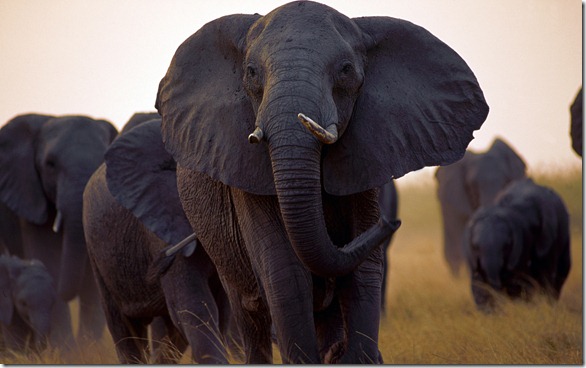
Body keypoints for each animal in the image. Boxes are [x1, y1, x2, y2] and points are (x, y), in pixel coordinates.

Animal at [153, 1, 486, 364]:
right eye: (252, 73)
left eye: (345, 70)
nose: (391, 222)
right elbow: (285, 271)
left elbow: (362, 269)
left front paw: (356, 357)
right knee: (249, 315)